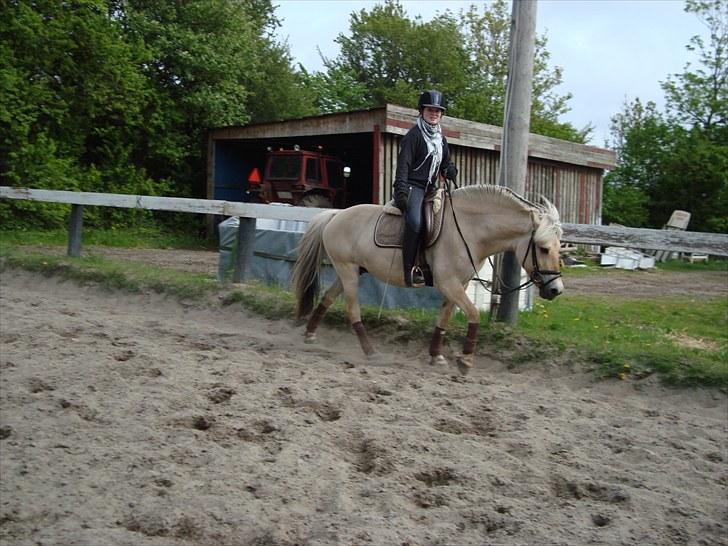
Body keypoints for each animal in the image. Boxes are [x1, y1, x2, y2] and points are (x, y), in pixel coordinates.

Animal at [290, 183, 564, 370]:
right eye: (543, 248)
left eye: (558, 246)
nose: (556, 290)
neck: (469, 230)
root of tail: (335, 215)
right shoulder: (448, 283)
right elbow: (474, 313)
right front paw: (466, 359)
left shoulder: (459, 283)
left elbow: (444, 318)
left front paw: (436, 355)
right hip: (347, 271)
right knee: (352, 310)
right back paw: (370, 351)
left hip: (350, 270)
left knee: (327, 298)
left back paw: (310, 335)